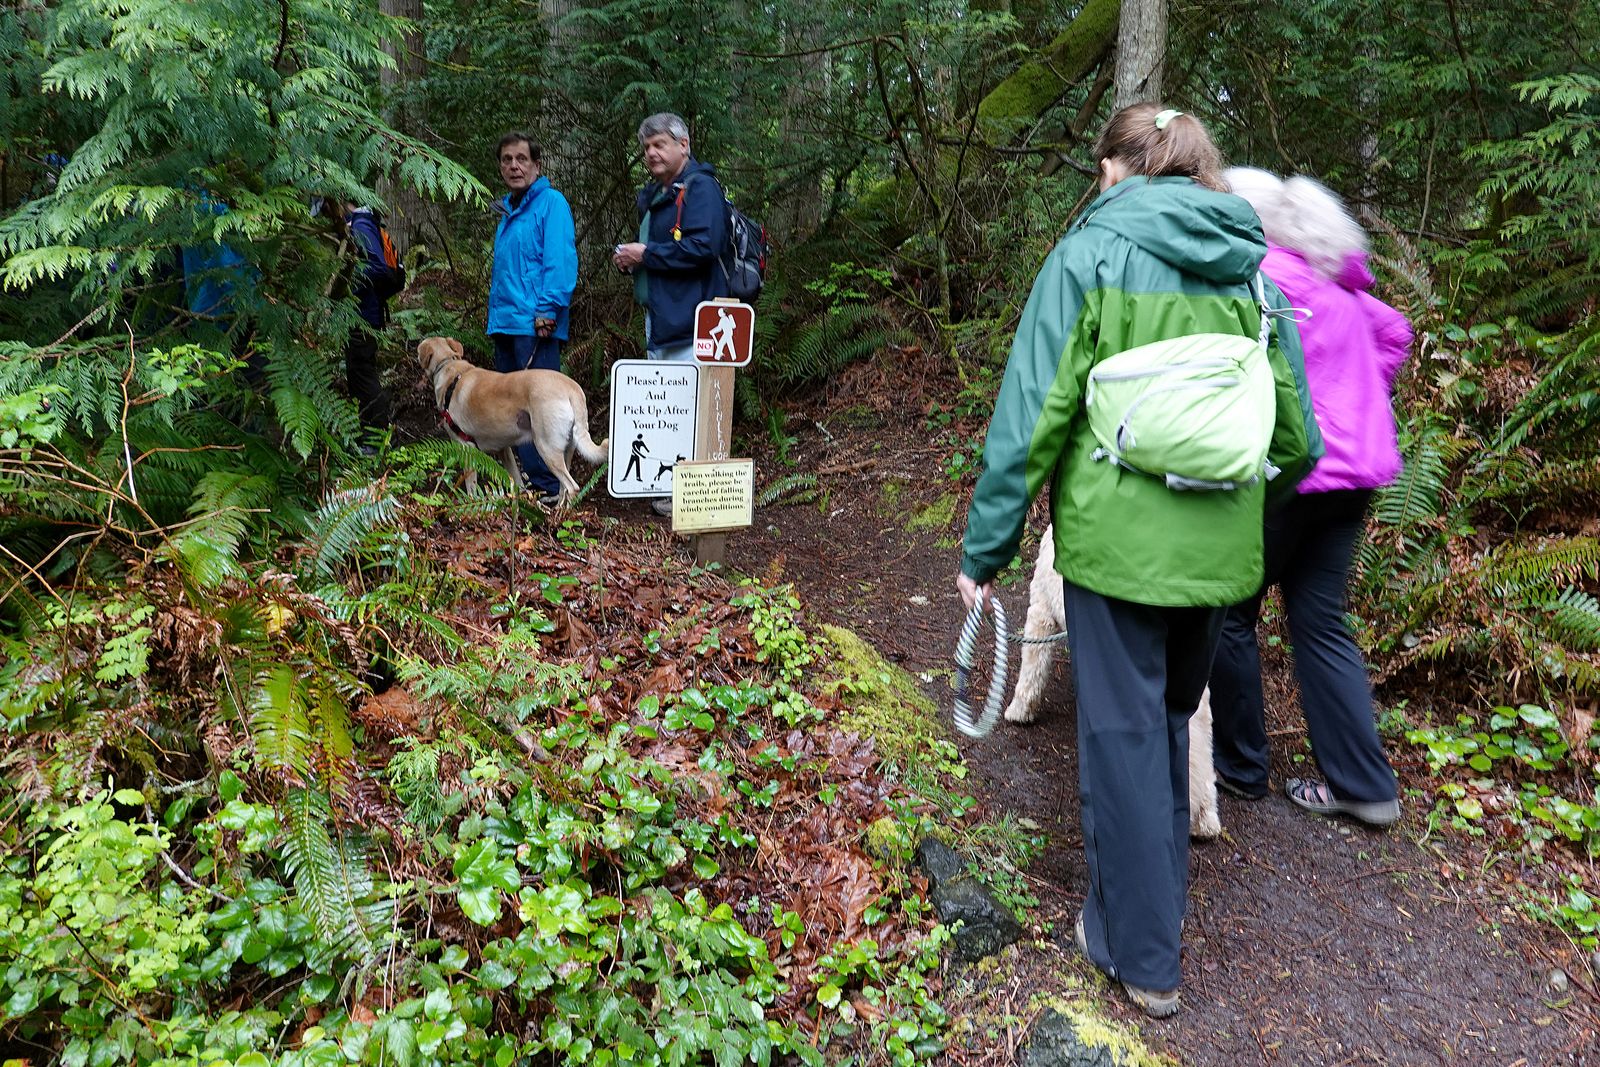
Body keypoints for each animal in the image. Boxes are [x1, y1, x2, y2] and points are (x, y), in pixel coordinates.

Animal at [416, 340, 608, 511]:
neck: (448, 365)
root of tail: (572, 388)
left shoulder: (466, 447)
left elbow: (470, 485)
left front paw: (470, 505)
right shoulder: (504, 449)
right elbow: (518, 482)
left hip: (546, 447)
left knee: (571, 486)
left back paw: (560, 515)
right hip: (566, 450)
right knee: (563, 487)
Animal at [1004, 524, 1216, 844]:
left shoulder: (1041, 613)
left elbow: (1032, 665)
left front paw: (1019, 711)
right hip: (1194, 689)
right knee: (1201, 753)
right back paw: (1205, 819)